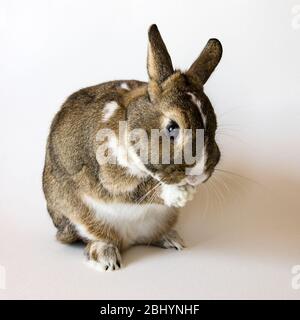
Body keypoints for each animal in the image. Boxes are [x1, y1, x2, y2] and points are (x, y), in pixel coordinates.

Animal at [42, 24, 221, 270]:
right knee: (95, 237)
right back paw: (106, 258)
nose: (198, 174)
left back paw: (172, 240)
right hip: (82, 218)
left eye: (214, 123)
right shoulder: (110, 176)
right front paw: (180, 194)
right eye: (172, 127)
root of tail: (129, 239)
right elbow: (138, 191)